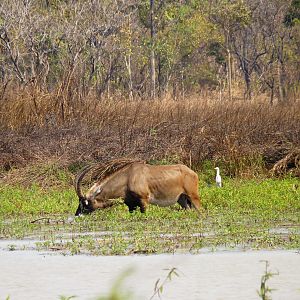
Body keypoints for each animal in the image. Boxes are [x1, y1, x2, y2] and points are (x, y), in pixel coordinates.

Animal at [74, 159, 202, 216]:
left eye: (85, 203)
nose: (77, 215)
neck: (128, 176)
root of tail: (192, 172)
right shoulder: (131, 205)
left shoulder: (144, 201)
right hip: (182, 200)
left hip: (193, 197)